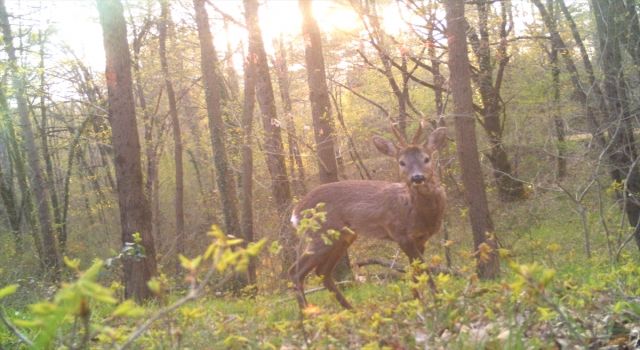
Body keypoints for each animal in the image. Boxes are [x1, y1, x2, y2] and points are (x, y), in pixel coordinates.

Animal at [288, 120, 448, 308]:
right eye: (401, 162)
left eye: (426, 158)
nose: (417, 178)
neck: (416, 211)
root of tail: (296, 212)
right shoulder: (400, 234)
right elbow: (424, 268)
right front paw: (437, 303)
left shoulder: (421, 238)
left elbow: (415, 271)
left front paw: (419, 303)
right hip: (322, 233)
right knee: (295, 272)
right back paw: (308, 315)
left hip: (344, 236)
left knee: (322, 272)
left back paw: (352, 310)